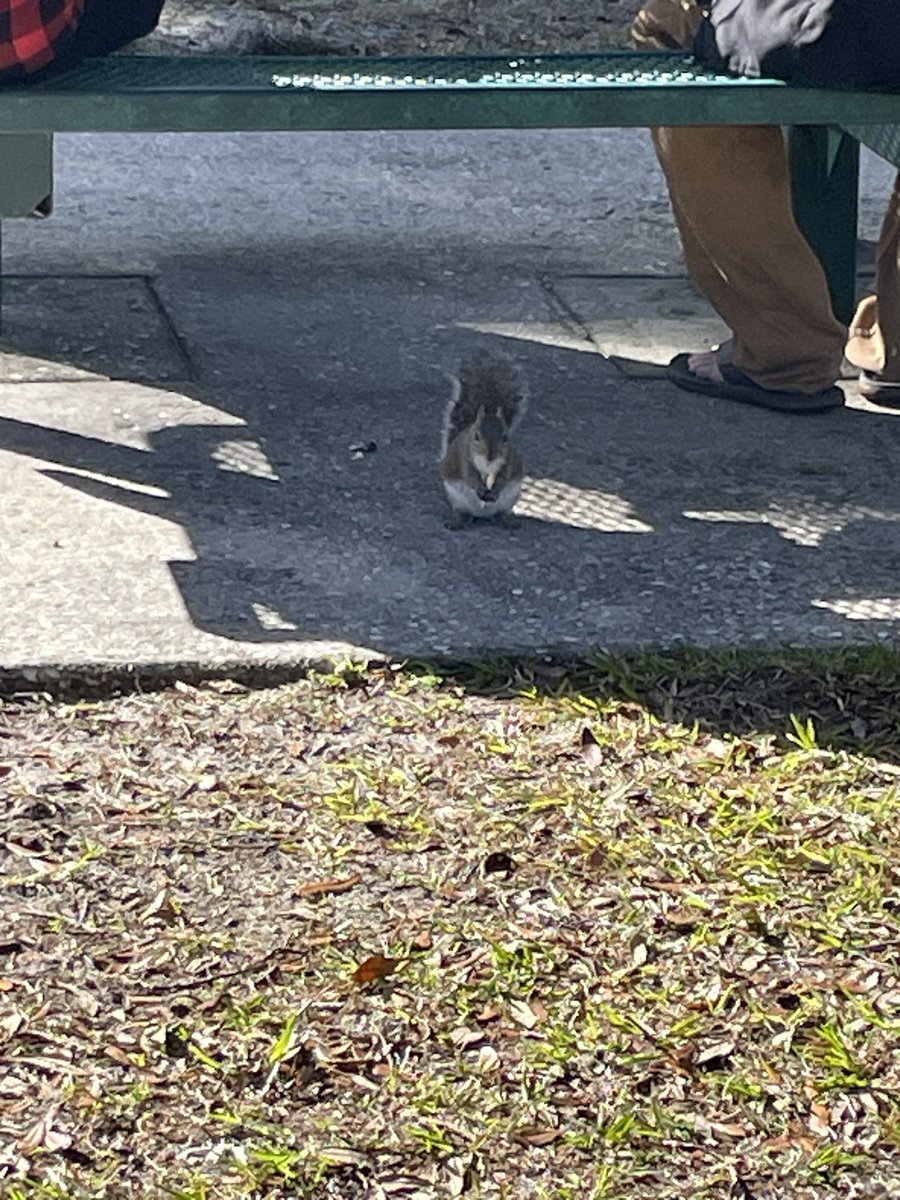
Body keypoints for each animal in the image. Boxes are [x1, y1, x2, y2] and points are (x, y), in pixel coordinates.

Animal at [439, 348, 525, 520]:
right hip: (457, 498)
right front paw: (480, 487)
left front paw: (495, 488)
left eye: (505, 438)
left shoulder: (508, 461)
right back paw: (459, 519)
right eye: (476, 437)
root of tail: (484, 515)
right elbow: (470, 478)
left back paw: (507, 519)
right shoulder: (464, 459)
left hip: (511, 497)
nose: (490, 456)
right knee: (463, 510)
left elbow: (503, 479)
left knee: (501, 511)